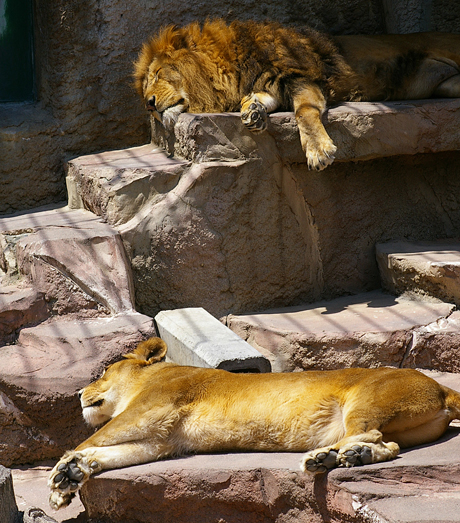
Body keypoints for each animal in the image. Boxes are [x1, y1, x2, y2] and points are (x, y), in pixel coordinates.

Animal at [49, 338, 460, 510]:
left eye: (104, 371)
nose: (80, 392)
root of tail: (442, 386)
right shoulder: (165, 441)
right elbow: (113, 453)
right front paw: (74, 474)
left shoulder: (152, 409)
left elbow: (91, 440)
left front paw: (61, 477)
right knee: (389, 445)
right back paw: (346, 458)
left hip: (366, 401)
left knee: (373, 435)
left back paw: (327, 457)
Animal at [134, 20, 460, 170]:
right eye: (146, 84)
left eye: (158, 74)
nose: (149, 105)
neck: (231, 67)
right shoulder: (269, 83)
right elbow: (258, 99)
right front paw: (253, 112)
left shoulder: (301, 78)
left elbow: (304, 112)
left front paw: (318, 152)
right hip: (447, 85)